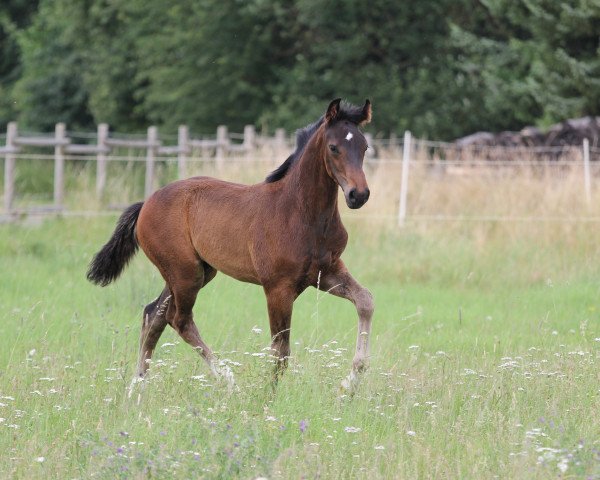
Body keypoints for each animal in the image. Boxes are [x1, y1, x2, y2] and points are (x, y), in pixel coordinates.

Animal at [86, 98, 376, 394]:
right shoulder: (278, 287)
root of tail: (146, 203)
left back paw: (137, 387)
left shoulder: (326, 272)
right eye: (334, 147)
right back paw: (229, 382)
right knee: (179, 319)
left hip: (194, 271)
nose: (359, 195)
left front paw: (349, 383)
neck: (301, 212)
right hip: (184, 272)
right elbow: (280, 350)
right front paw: (269, 397)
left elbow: (365, 301)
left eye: (365, 147)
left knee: (154, 315)